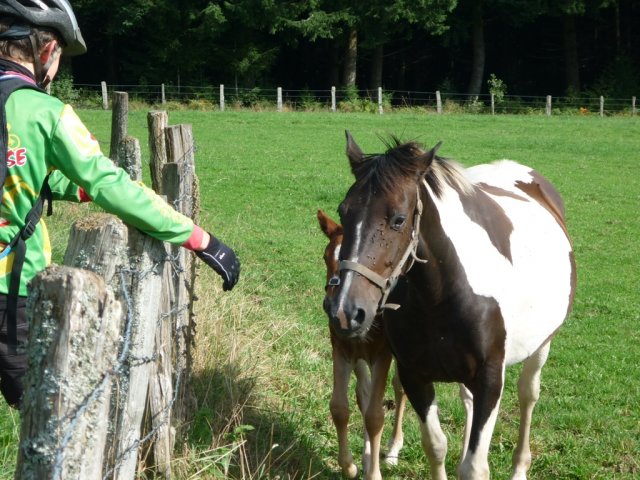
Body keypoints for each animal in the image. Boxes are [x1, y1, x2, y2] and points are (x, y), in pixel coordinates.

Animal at [318, 210, 408, 480]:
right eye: (325, 256)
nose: (333, 307)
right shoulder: (342, 350)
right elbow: (341, 407)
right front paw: (350, 465)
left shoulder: (382, 355)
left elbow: (375, 415)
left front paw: (374, 472)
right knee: (365, 393)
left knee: (400, 388)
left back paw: (392, 450)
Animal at [328, 132, 576, 480]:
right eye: (343, 211)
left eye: (398, 219)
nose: (347, 311)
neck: (441, 295)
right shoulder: (414, 376)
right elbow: (436, 446)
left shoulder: (490, 380)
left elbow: (475, 466)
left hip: (541, 345)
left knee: (528, 395)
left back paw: (519, 467)